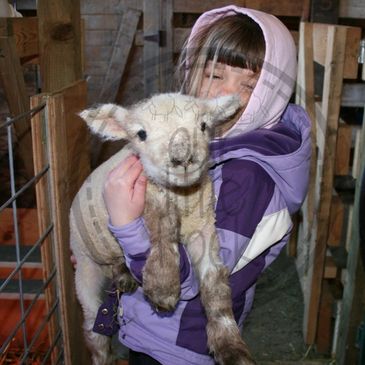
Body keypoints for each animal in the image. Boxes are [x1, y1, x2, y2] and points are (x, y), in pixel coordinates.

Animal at [69, 92, 255, 362]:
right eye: (141, 134)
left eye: (203, 125)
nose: (182, 158)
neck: (183, 198)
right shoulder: (151, 196)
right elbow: (163, 225)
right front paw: (163, 286)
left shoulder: (204, 226)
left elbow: (215, 284)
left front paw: (230, 347)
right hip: (84, 265)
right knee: (94, 328)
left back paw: (124, 276)